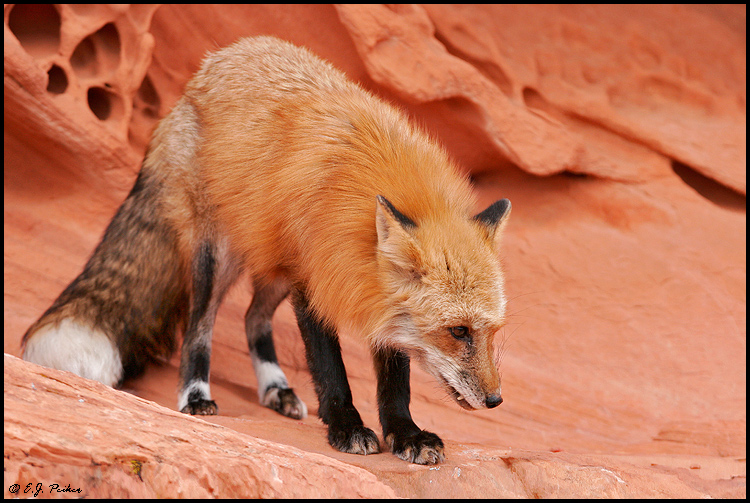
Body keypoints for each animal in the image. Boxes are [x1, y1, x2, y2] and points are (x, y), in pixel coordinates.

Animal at [22, 36, 511, 465]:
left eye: (492, 332)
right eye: (458, 331)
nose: (495, 400)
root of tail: (204, 72)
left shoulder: (370, 292)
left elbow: (395, 383)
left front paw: (405, 434)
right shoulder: (316, 279)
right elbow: (330, 370)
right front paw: (347, 428)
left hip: (274, 266)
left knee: (252, 319)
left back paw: (276, 389)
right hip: (217, 257)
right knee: (200, 328)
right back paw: (195, 395)